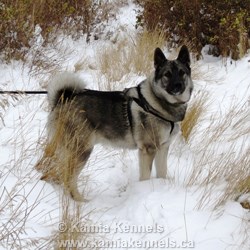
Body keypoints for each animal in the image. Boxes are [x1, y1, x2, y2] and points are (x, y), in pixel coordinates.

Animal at [36, 45, 193, 201]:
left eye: (181, 73)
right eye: (167, 74)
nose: (178, 86)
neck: (159, 103)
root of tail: (63, 99)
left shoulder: (163, 148)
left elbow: (162, 172)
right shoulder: (148, 150)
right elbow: (145, 176)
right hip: (82, 150)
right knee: (68, 177)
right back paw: (80, 200)